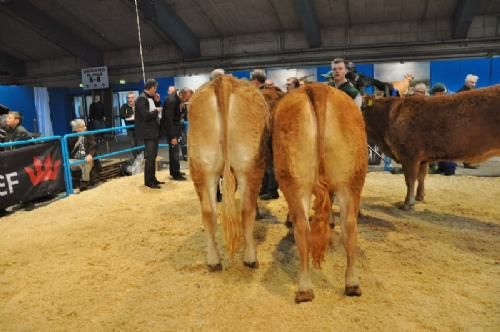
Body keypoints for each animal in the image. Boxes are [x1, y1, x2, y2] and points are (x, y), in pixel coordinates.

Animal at [189, 74, 272, 270]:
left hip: (202, 168)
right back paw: (250, 258)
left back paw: (213, 261)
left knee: (208, 212)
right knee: (246, 209)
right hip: (250, 166)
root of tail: (223, 80)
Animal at [274, 83, 368, 304]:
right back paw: (352, 283)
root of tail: (318, 88)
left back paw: (304, 289)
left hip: (294, 181)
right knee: (349, 225)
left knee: (302, 227)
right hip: (351, 180)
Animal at [364, 86, 500, 210]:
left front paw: (407, 204)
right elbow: (421, 176)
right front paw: (419, 196)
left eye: (361, 108)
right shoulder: (423, 158)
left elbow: (410, 180)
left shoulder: (409, 155)